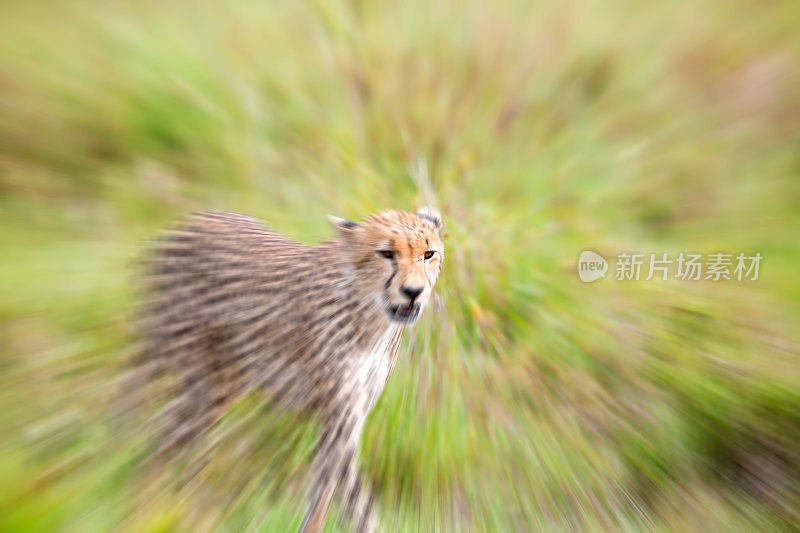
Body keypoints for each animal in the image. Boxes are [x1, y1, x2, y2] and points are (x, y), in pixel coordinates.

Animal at [131, 206, 444, 528]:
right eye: (386, 253)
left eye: (428, 254)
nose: (413, 291)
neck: (373, 319)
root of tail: (195, 217)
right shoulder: (338, 416)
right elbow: (335, 494)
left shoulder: (352, 415)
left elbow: (343, 494)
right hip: (184, 369)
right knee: (143, 421)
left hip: (214, 386)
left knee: (169, 434)